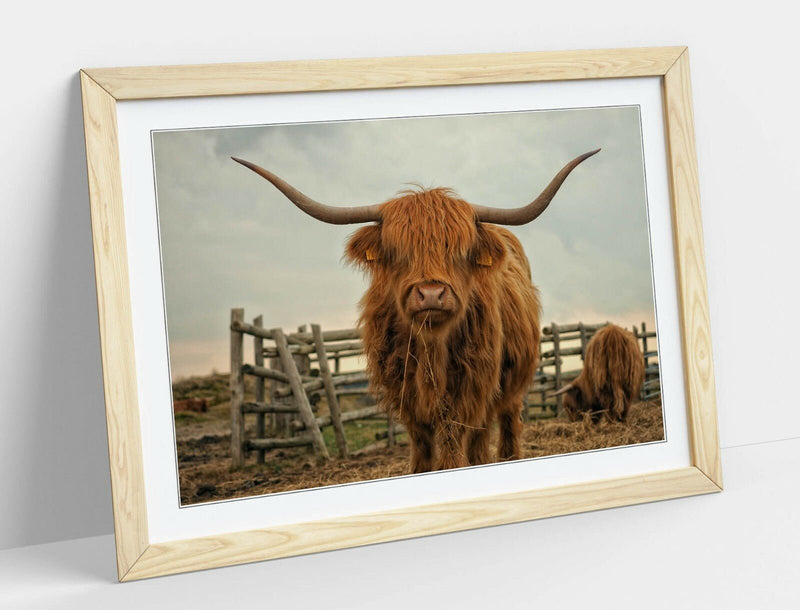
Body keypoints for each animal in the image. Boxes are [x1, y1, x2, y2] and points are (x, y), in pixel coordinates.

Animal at [233, 149, 599, 472]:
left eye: (460, 251)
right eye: (398, 251)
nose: (431, 294)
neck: (430, 349)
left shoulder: (467, 391)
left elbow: (453, 442)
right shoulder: (406, 397)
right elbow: (422, 447)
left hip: (510, 385)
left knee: (503, 426)